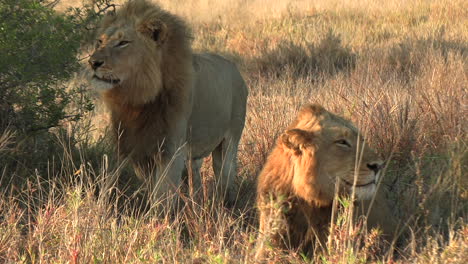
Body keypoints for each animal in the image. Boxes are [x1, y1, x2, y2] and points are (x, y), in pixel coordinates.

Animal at [88, 0, 249, 205]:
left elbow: (161, 197)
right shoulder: (129, 145)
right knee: (195, 177)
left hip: (229, 143)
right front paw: (99, 207)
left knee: (225, 177)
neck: (137, 99)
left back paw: (225, 205)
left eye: (123, 43)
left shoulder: (171, 151)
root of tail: (235, 69)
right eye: (100, 42)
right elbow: (109, 180)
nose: (93, 62)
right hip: (194, 152)